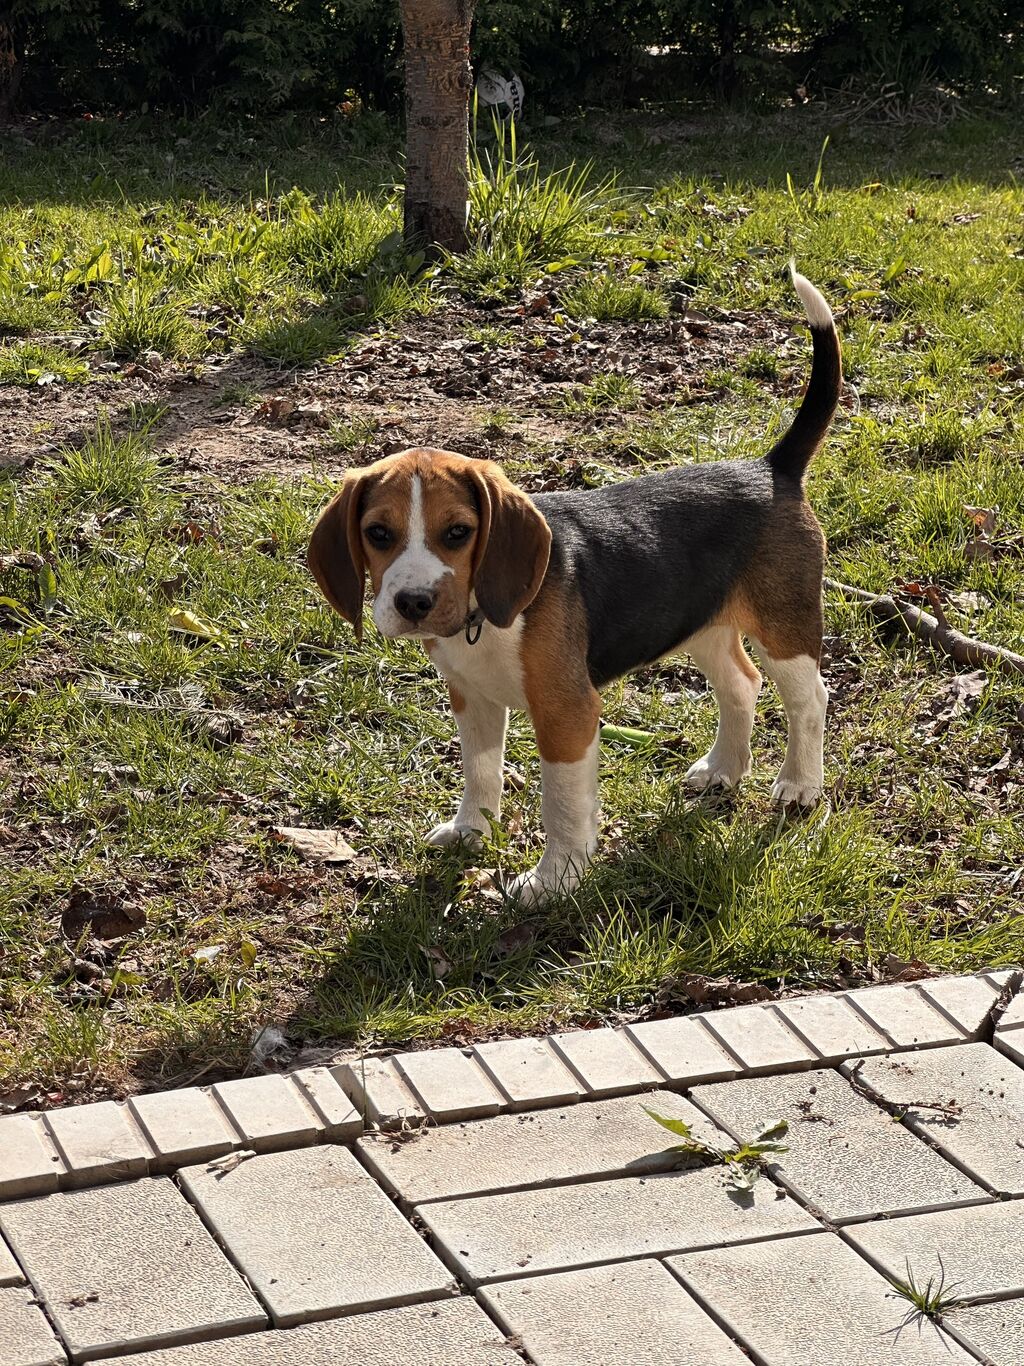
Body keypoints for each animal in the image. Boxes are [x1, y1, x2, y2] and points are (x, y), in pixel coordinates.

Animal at [311, 266, 841, 907]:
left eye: (458, 532)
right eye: (378, 533)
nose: (413, 603)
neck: (482, 620)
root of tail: (770, 467)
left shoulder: (567, 714)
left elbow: (561, 805)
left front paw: (553, 879)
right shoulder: (473, 699)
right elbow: (480, 770)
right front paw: (470, 832)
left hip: (784, 623)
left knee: (809, 699)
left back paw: (799, 785)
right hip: (702, 623)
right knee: (741, 683)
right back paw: (723, 770)